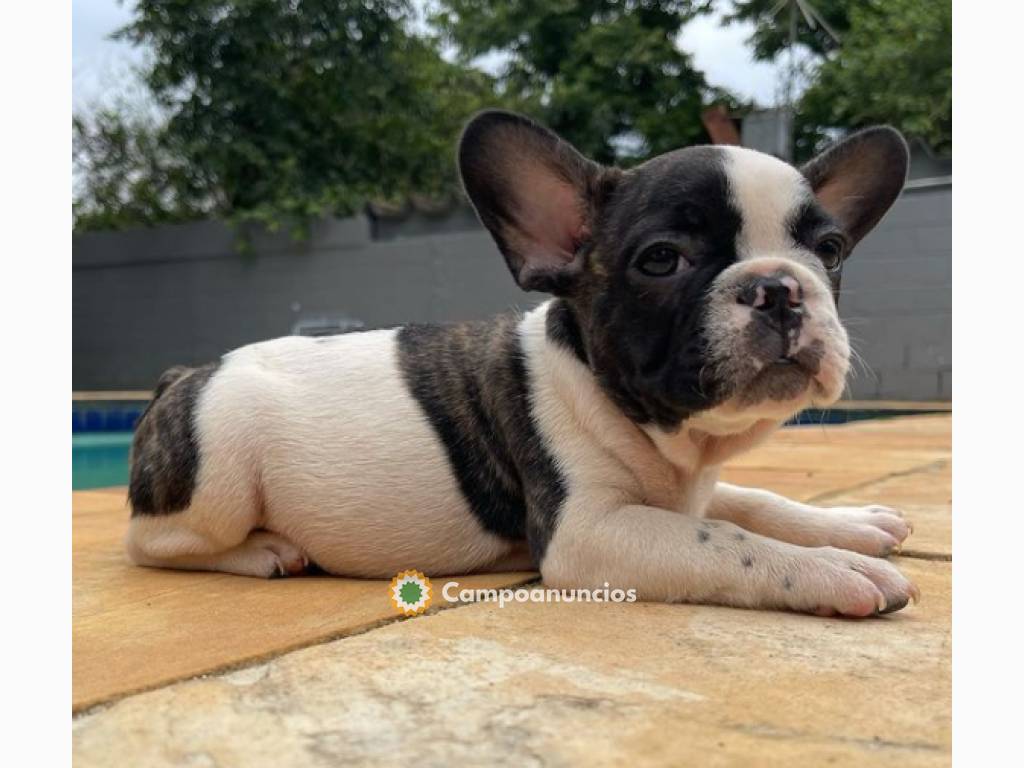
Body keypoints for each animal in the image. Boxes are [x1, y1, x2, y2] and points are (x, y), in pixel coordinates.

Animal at [123, 111, 917, 618]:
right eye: (662, 260)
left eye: (831, 250)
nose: (779, 285)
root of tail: (182, 378)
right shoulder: (590, 532)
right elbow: (728, 541)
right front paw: (832, 568)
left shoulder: (682, 491)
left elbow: (754, 502)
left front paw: (847, 525)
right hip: (221, 473)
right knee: (152, 544)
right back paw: (266, 552)